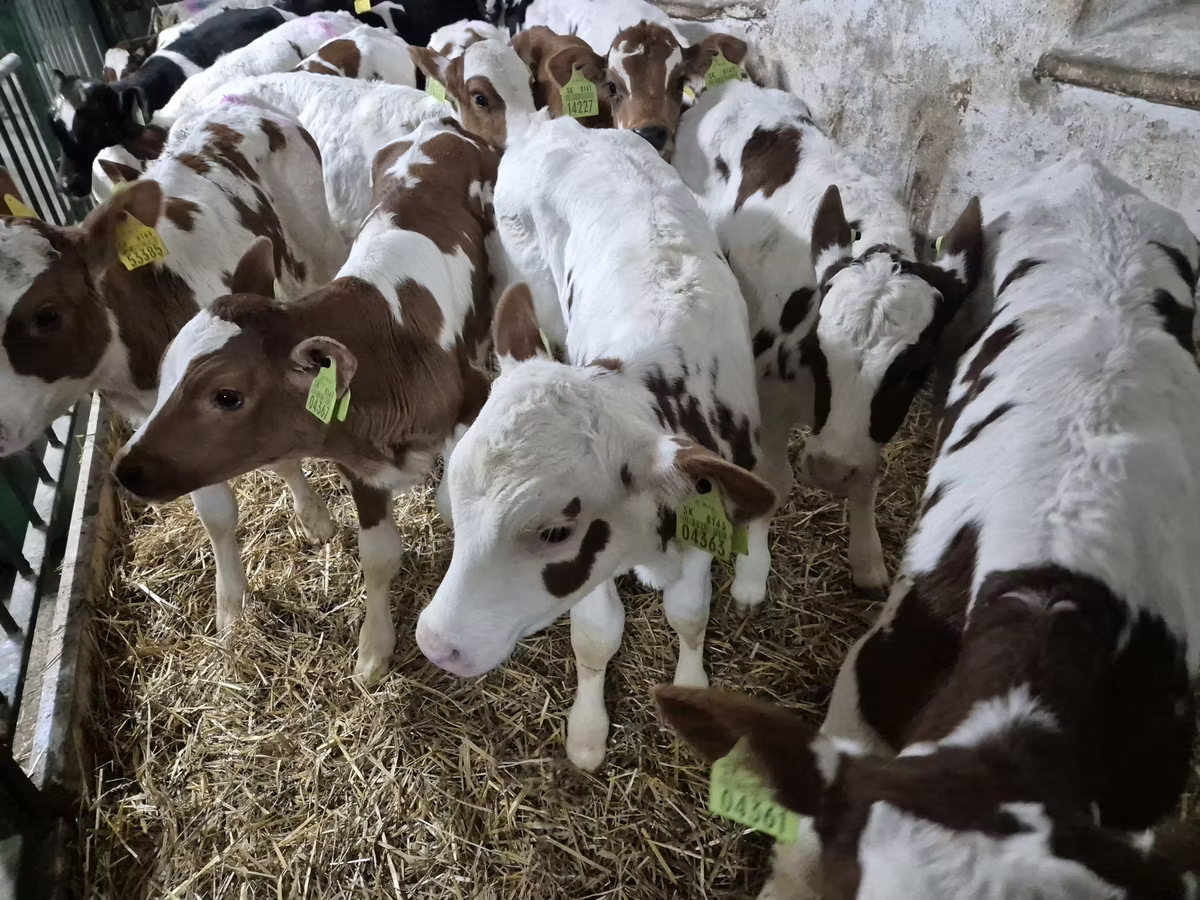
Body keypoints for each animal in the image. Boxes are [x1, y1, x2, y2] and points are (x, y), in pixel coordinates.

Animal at [0, 99, 346, 633]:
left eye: (48, 314)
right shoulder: (164, 421)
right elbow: (215, 510)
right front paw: (232, 609)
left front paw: (315, 518)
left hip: (314, 242)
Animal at [110, 115, 500, 684]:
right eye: (163, 375)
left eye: (227, 395)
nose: (125, 468)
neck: (390, 348)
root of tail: (436, 126)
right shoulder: (359, 462)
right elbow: (379, 555)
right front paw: (373, 649)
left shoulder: (473, 400)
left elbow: (455, 501)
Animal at [415, 115, 776, 773]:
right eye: (456, 487)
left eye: (557, 530)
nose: (435, 643)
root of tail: (551, 124)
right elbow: (596, 634)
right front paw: (587, 731)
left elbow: (690, 613)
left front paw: (692, 683)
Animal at [674, 79, 983, 593]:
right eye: (818, 351)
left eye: (913, 371)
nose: (829, 468)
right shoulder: (767, 394)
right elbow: (774, 480)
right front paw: (752, 573)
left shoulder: (872, 430)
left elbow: (869, 474)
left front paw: (867, 559)